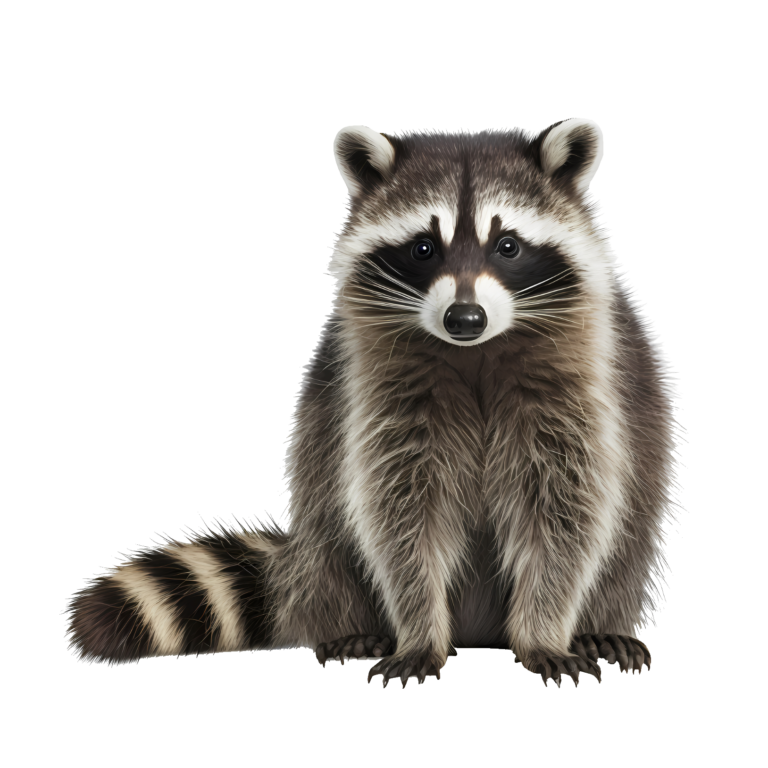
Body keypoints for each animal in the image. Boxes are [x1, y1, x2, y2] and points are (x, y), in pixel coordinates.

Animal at [64, 119, 684, 689]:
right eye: (423, 248)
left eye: (507, 246)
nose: (465, 318)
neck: (476, 351)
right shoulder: (377, 385)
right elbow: (399, 513)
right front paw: (419, 633)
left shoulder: (578, 382)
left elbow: (564, 512)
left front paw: (543, 634)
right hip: (321, 528)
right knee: (332, 534)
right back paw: (350, 625)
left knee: (626, 539)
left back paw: (601, 626)